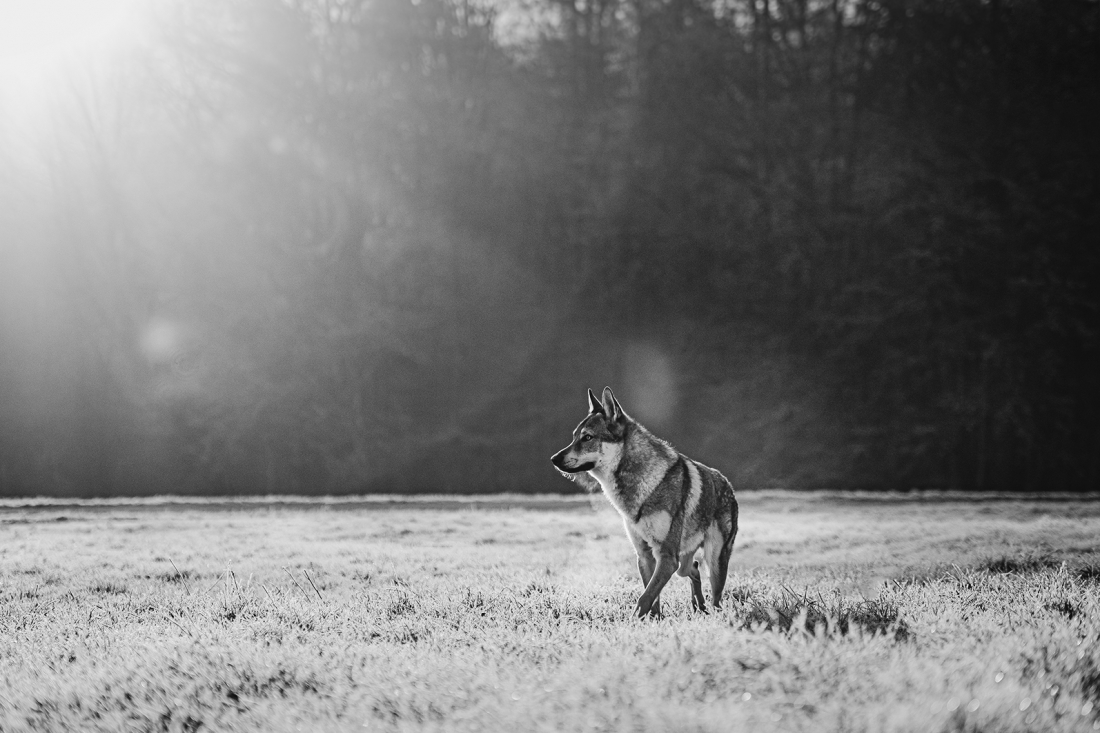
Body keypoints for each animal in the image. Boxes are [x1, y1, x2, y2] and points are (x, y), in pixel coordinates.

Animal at [551, 387, 738, 618]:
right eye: (574, 437)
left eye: (587, 437)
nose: (553, 459)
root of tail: (727, 484)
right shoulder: (645, 556)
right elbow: (652, 598)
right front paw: (654, 621)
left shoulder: (666, 558)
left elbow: (645, 598)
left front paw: (633, 622)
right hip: (683, 564)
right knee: (694, 568)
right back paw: (698, 608)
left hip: (714, 562)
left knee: (716, 598)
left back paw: (710, 613)